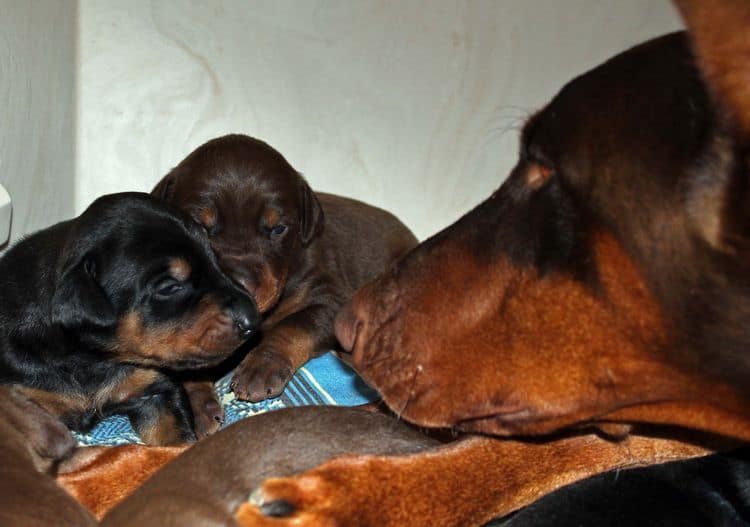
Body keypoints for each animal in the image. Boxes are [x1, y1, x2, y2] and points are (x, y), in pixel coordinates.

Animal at [0, 192, 258, 444]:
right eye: (169, 287)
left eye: (215, 259)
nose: (252, 319)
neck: (95, 359)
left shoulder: (156, 389)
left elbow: (176, 438)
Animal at [153, 134, 418, 402]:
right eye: (199, 226)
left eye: (279, 228)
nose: (239, 284)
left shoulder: (330, 298)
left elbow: (292, 326)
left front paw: (262, 366)